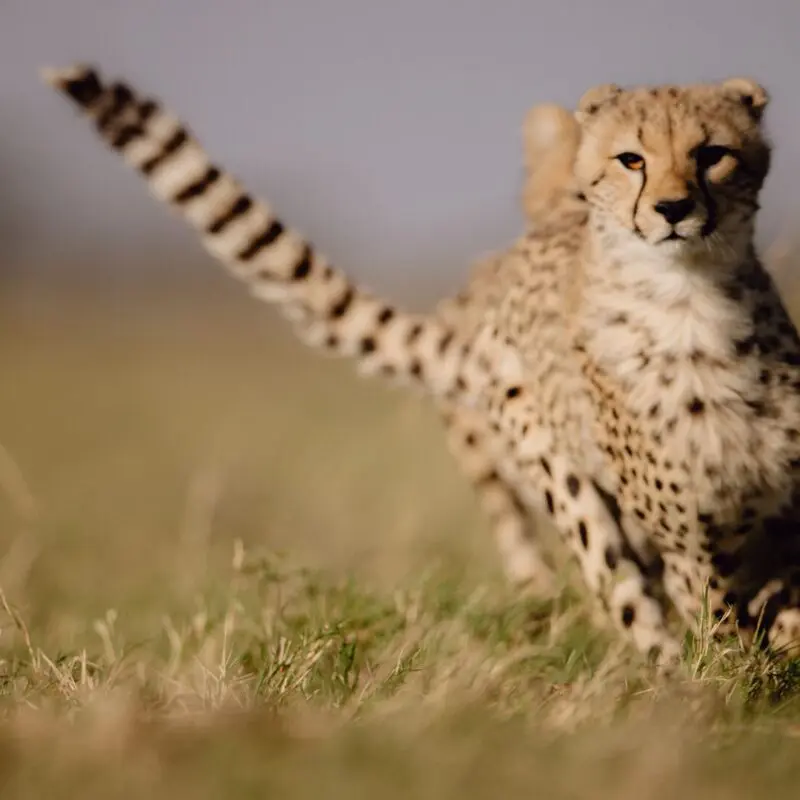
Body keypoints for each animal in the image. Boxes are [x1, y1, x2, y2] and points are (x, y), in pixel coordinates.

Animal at [42, 63, 800, 670]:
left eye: (713, 154)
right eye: (631, 160)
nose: (673, 208)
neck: (689, 304)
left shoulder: (777, 517)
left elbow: (781, 611)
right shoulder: (689, 545)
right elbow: (718, 626)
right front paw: (731, 693)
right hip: (567, 489)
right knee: (626, 601)